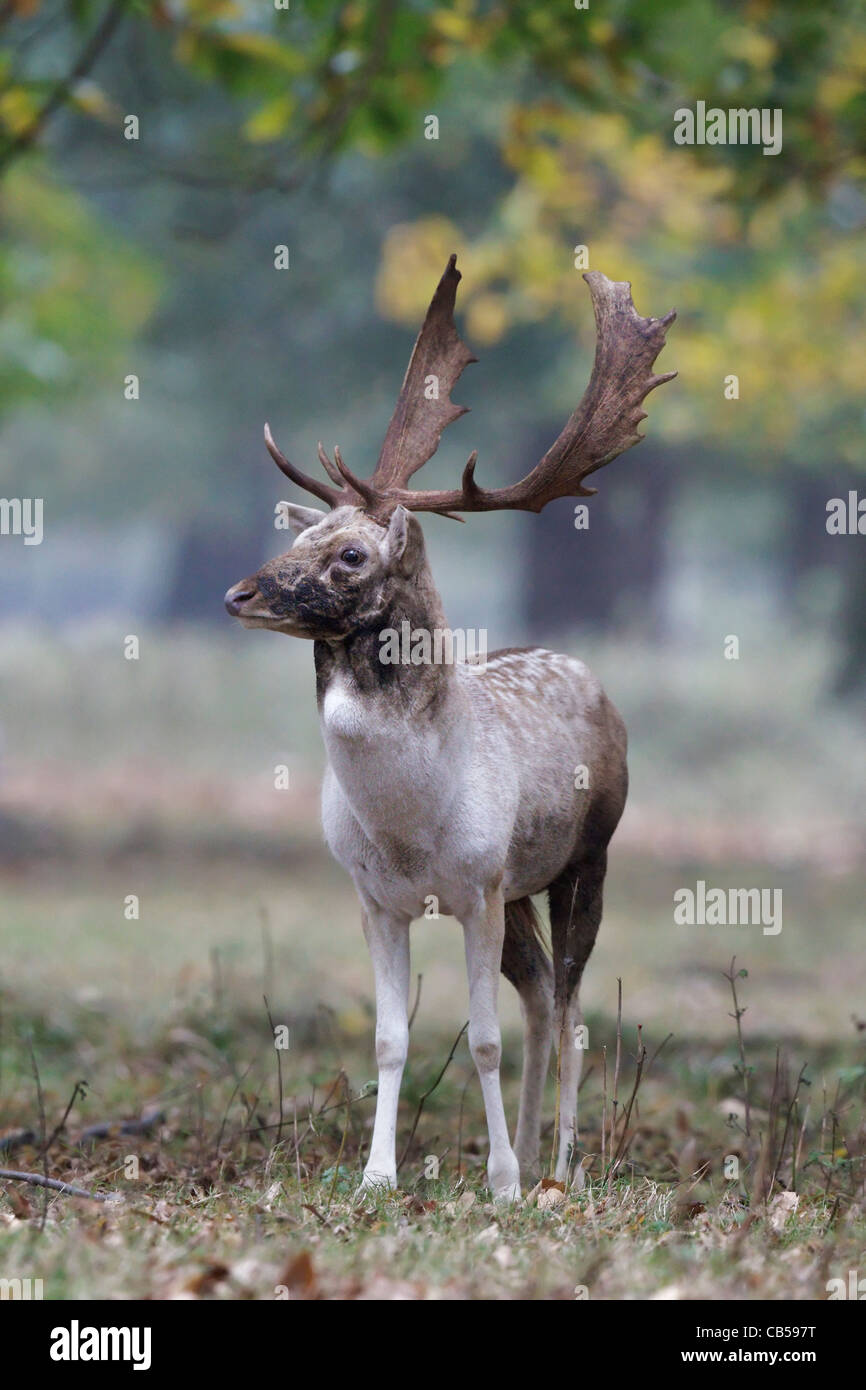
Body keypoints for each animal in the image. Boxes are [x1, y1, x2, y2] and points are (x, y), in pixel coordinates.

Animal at [226, 262, 675, 1206]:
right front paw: (379, 1176)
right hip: (520, 891)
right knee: (539, 994)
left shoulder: (477, 883)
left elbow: (483, 1038)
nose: (238, 594)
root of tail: (593, 679)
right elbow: (391, 1036)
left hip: (586, 857)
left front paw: (500, 1183)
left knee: (571, 1008)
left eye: (352, 555)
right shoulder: (373, 896)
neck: (409, 825)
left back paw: (560, 1167)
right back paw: (537, 1152)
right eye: (310, 535)